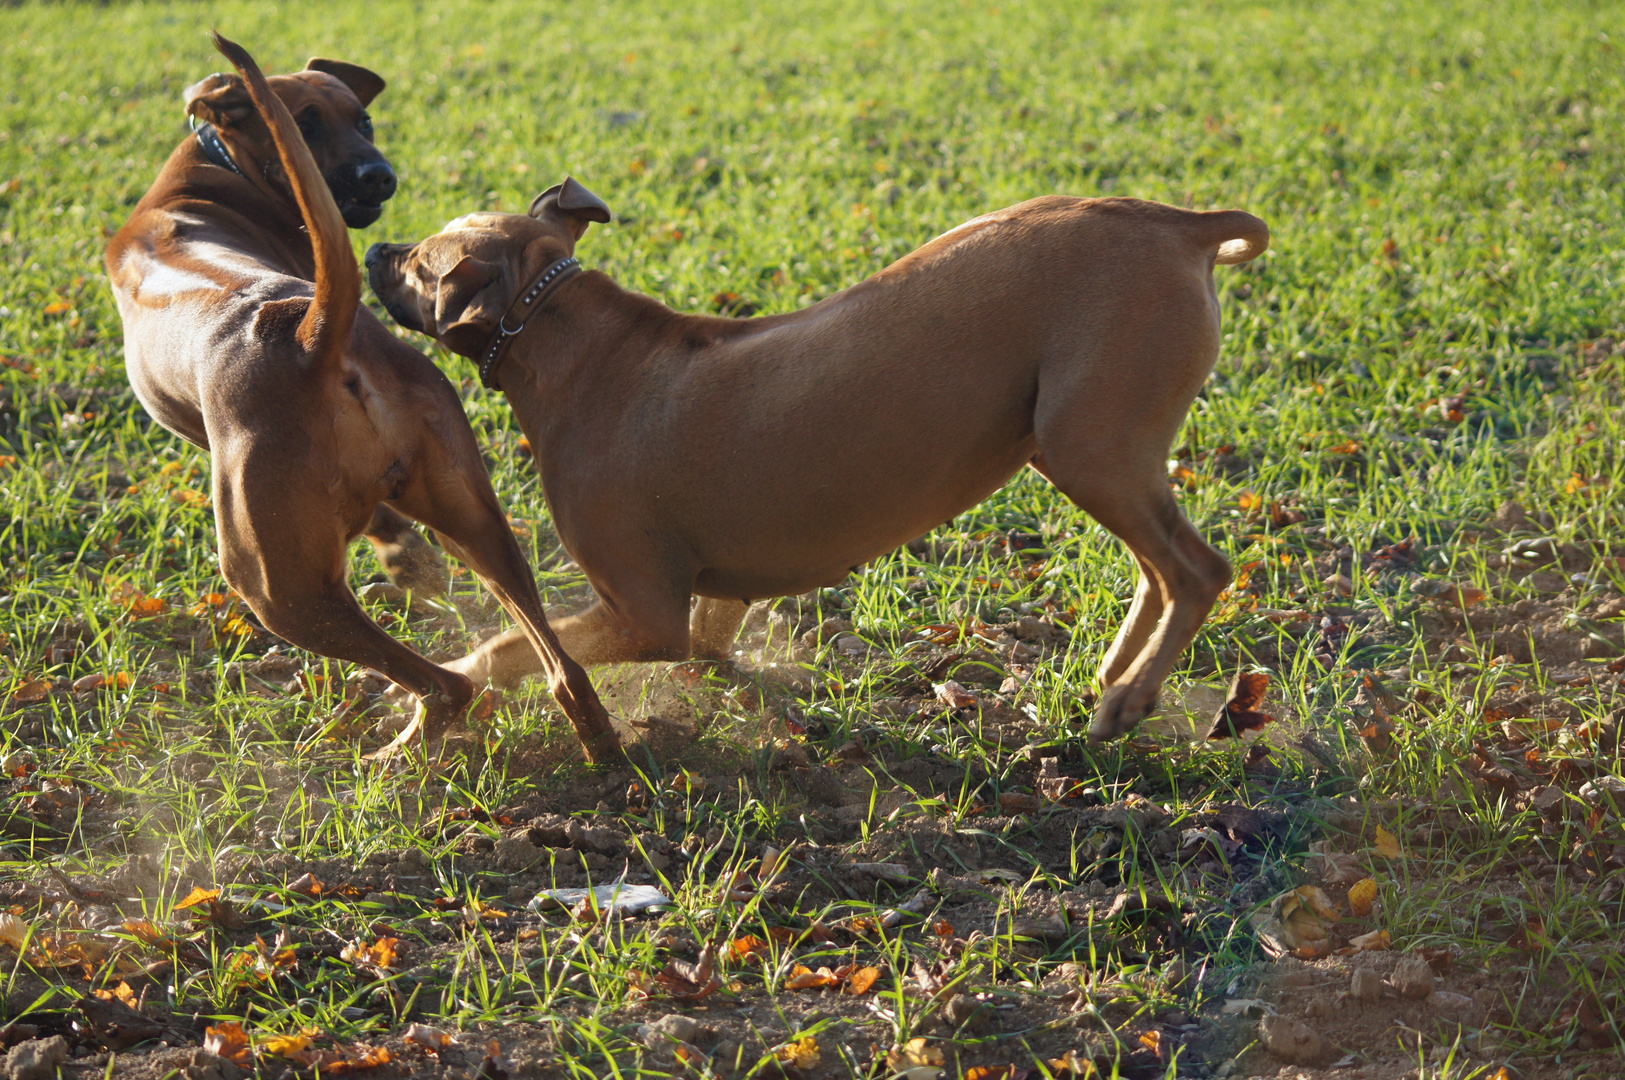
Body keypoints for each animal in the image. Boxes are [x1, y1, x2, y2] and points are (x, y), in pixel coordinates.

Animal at [103, 37, 620, 763]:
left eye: (362, 120)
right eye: (308, 123)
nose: (378, 177)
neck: (212, 177)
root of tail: (305, 333)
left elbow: (380, 519)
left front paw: (404, 560)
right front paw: (415, 563)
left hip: (277, 588)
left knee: (442, 683)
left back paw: (398, 749)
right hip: (478, 521)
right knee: (557, 659)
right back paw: (598, 741)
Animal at [368, 181, 1267, 747]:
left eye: (420, 262)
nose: (373, 245)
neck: (567, 334)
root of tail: (1173, 221)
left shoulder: (642, 612)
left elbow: (506, 648)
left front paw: (414, 716)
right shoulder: (708, 602)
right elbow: (714, 651)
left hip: (1090, 444)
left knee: (1197, 569)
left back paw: (1130, 698)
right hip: (1078, 450)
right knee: (1156, 568)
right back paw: (1119, 671)